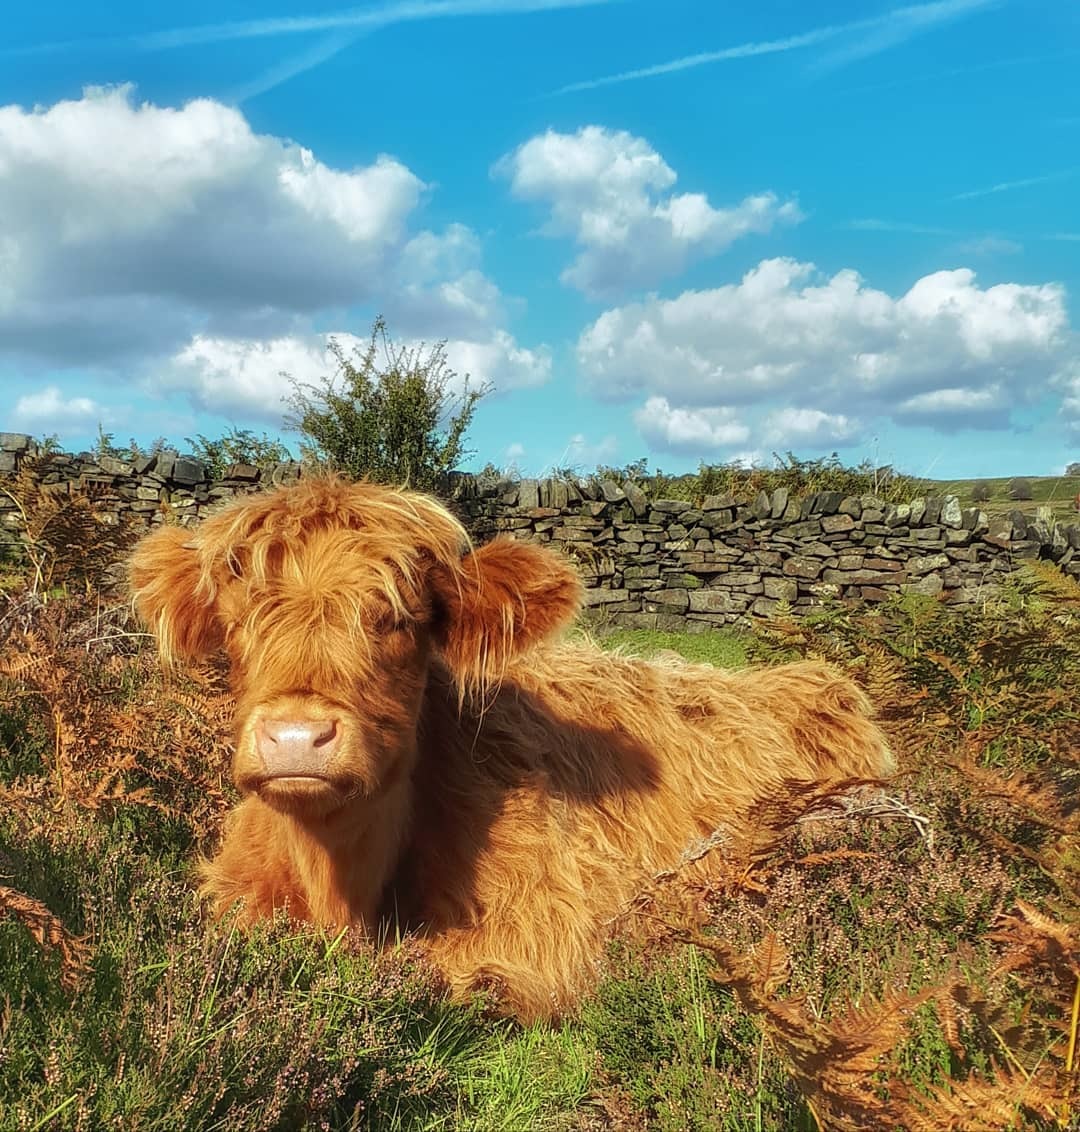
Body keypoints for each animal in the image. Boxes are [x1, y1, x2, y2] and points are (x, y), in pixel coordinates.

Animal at [130, 475, 887, 1018]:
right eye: (236, 623)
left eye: (400, 620)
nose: (296, 737)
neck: (340, 885)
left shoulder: (539, 939)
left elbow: (448, 975)